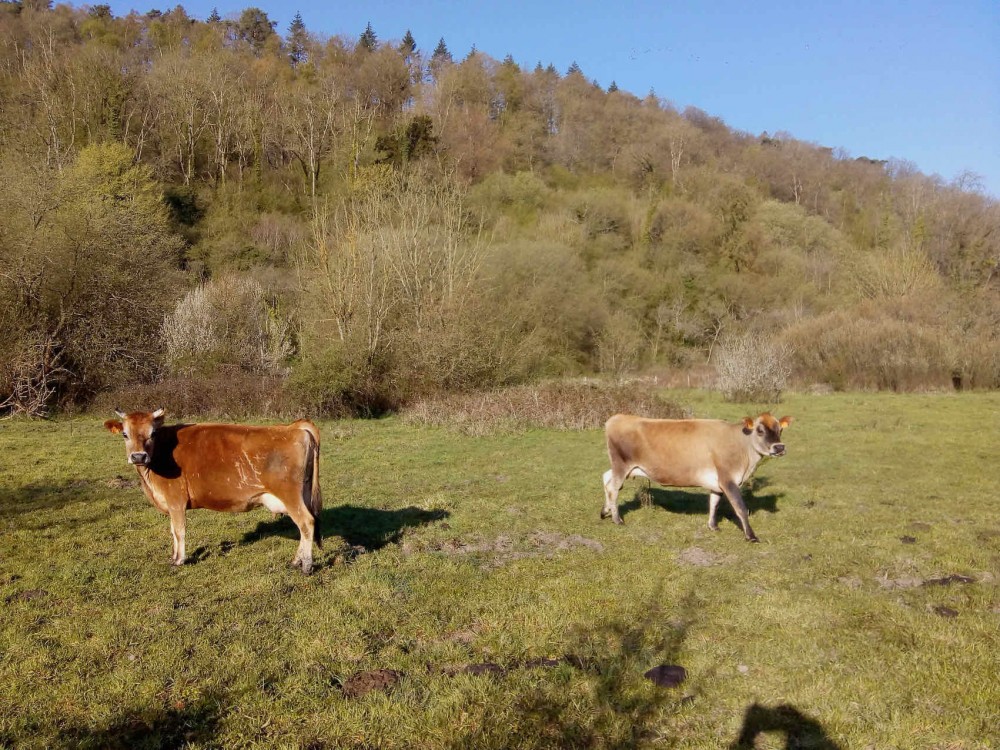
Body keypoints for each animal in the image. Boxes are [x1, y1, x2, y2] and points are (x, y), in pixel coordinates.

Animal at [102, 408, 322, 572]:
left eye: (152, 433)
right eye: (125, 434)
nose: (138, 456)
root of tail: (292, 428)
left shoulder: (176, 500)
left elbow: (179, 530)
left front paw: (179, 560)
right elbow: (172, 531)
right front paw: (173, 556)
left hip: (291, 496)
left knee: (306, 523)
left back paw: (306, 565)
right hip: (302, 493)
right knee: (305, 526)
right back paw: (296, 561)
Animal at [600, 414, 788, 544]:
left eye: (780, 429)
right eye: (760, 430)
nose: (779, 447)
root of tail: (617, 418)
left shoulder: (717, 482)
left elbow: (714, 503)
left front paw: (713, 526)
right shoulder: (728, 479)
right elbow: (740, 508)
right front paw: (751, 536)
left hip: (623, 467)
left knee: (606, 479)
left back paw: (605, 511)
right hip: (621, 464)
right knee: (613, 488)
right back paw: (617, 519)